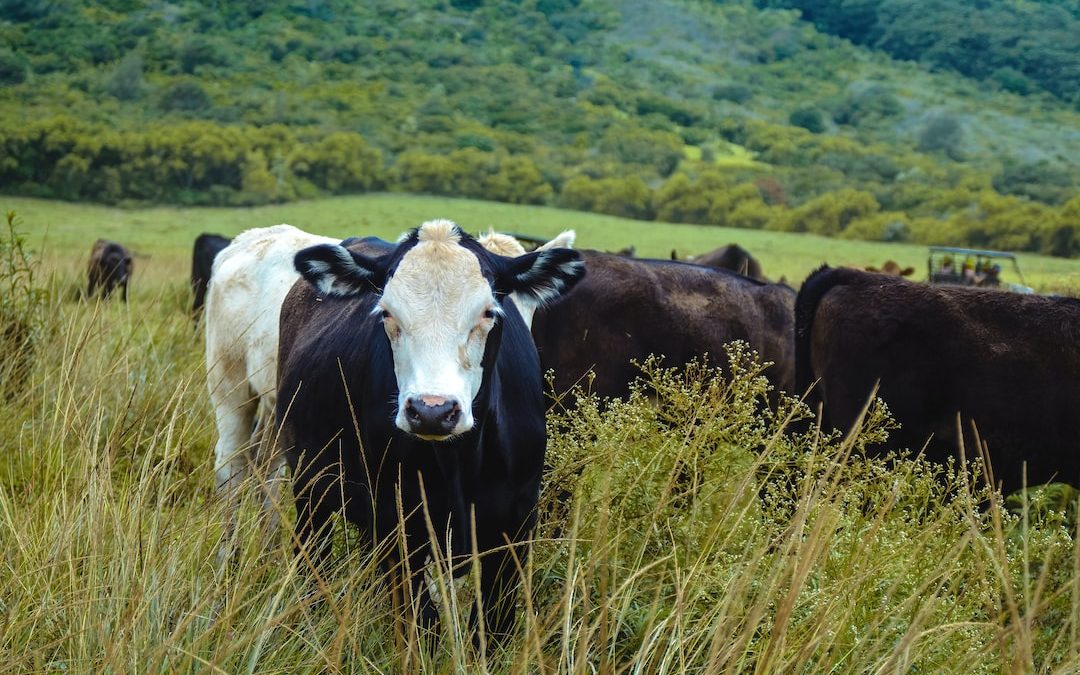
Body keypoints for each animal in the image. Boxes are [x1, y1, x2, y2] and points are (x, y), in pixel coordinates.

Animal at [276, 220, 583, 643]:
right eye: (386, 313)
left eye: (489, 312)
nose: (432, 411)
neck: (460, 465)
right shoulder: (397, 529)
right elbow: (423, 626)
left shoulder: (516, 528)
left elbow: (492, 630)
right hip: (310, 487)